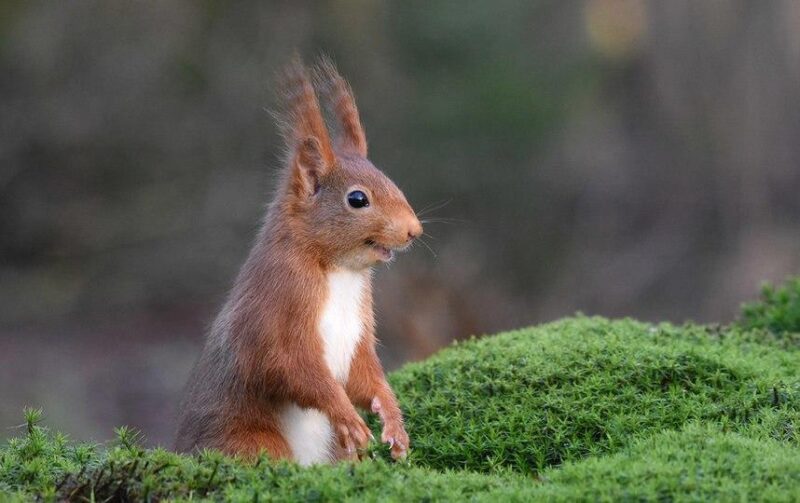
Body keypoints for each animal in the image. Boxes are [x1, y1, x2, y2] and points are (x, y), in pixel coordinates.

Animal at [176, 58, 422, 464]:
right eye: (358, 199)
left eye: (391, 180)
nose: (413, 230)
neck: (340, 271)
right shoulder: (278, 303)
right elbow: (289, 366)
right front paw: (348, 416)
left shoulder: (358, 331)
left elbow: (366, 375)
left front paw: (393, 423)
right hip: (252, 441)